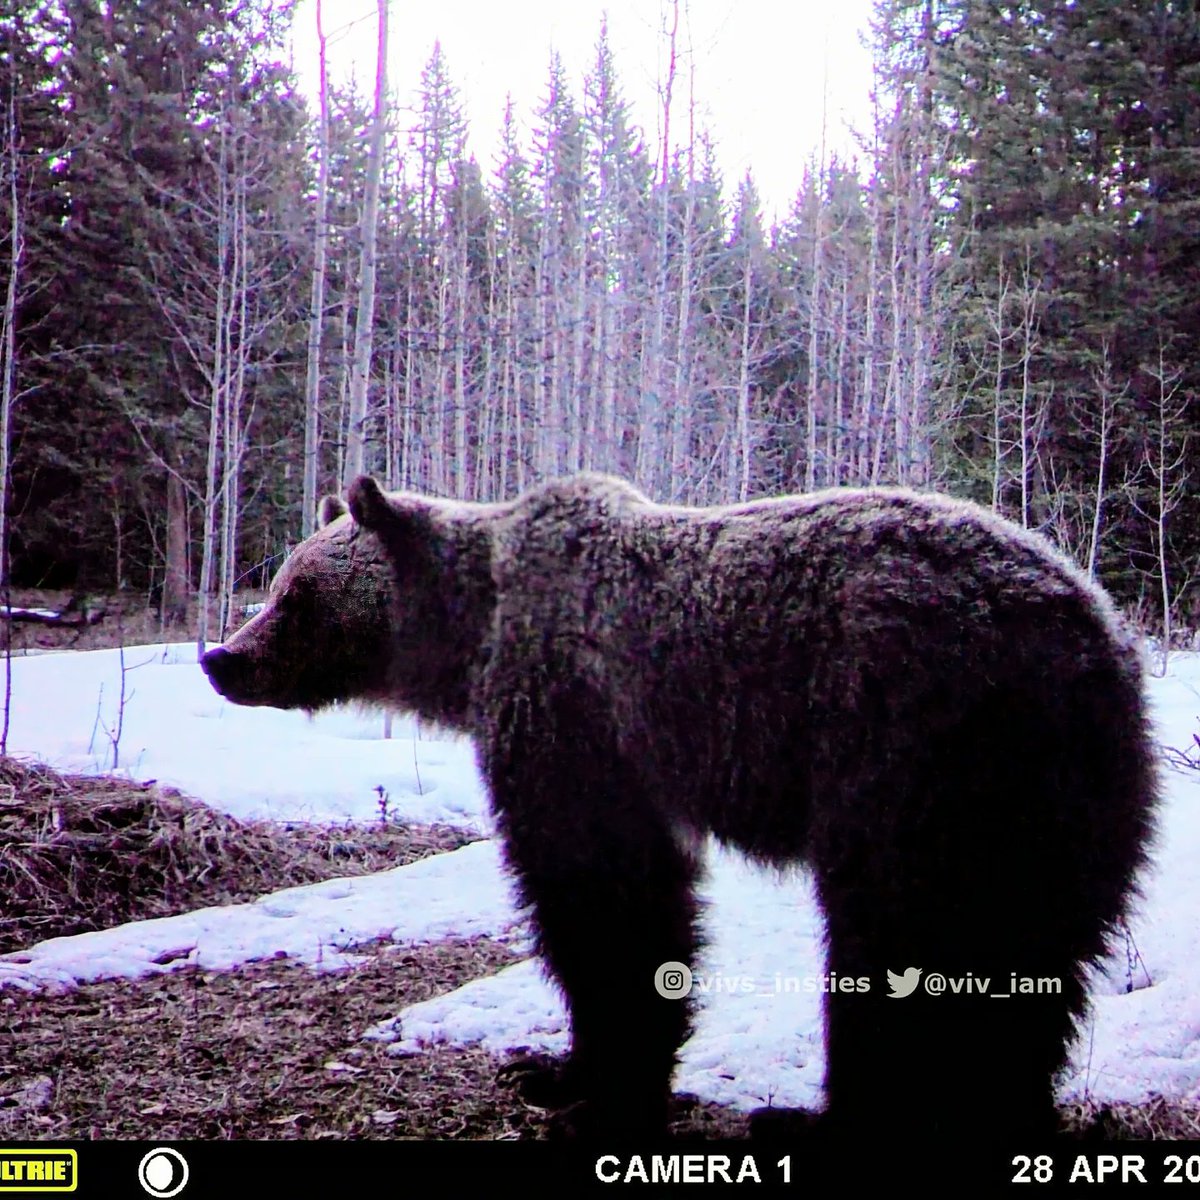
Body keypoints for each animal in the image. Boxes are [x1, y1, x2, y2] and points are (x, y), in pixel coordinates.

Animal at [201, 470, 1156, 1142]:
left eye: (294, 593)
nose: (223, 658)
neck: (471, 641)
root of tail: (1092, 636)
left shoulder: (574, 715)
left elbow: (603, 896)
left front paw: (595, 1083)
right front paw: (553, 1068)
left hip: (920, 760)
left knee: (896, 944)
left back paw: (823, 1119)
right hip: (1061, 808)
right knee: (1032, 967)